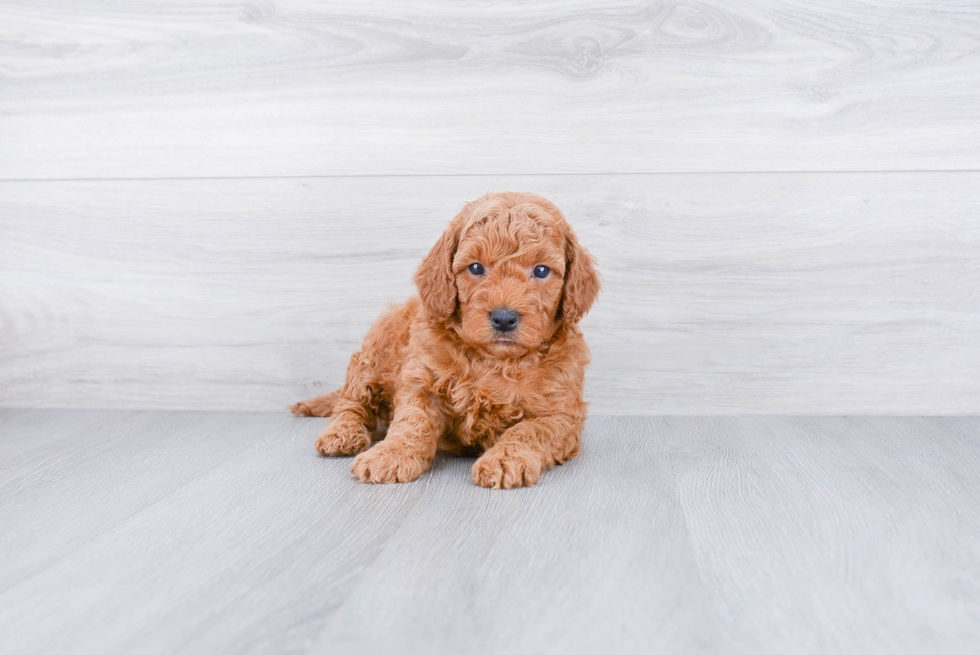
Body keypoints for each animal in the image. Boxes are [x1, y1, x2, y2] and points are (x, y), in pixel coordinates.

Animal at [288, 190, 600, 486]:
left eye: (541, 270)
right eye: (476, 268)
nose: (503, 318)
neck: (494, 360)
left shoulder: (560, 414)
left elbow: (529, 431)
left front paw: (503, 460)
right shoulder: (422, 382)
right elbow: (411, 422)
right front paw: (390, 454)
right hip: (372, 356)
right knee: (352, 400)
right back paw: (342, 434)